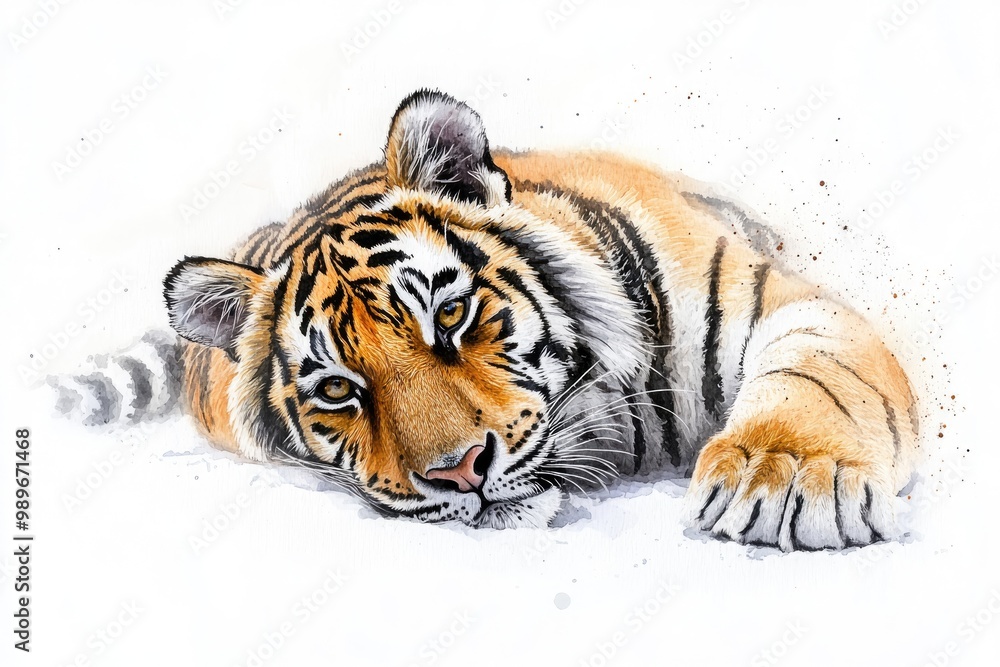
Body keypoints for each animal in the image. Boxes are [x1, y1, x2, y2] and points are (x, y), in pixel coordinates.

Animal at [50, 89, 920, 549]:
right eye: (336, 390)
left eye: (452, 312)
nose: (461, 470)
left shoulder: (769, 298)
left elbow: (819, 371)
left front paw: (788, 476)